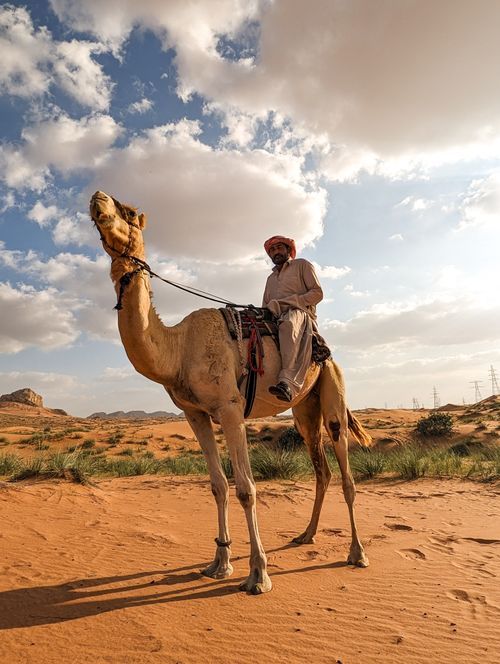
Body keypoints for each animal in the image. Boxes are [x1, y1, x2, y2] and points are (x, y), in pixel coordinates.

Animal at [90, 190, 371, 595]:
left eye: (127, 211)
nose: (97, 198)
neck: (178, 349)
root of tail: (326, 351)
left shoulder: (230, 407)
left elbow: (245, 488)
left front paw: (258, 575)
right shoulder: (195, 413)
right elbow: (218, 486)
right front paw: (219, 563)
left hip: (332, 389)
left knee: (346, 472)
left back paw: (357, 553)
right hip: (305, 409)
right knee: (322, 470)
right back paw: (306, 535)